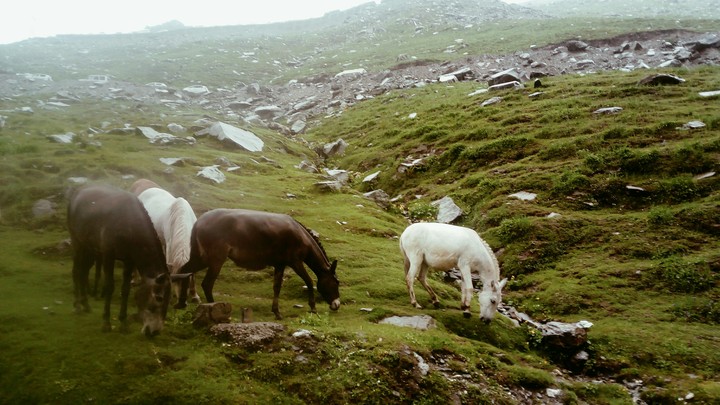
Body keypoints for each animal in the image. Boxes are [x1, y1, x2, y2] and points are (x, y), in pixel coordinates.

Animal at [67, 184, 179, 336]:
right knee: (76, 271)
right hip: (77, 242)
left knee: (83, 271)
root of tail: (76, 193)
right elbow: (109, 286)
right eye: (159, 298)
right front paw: (106, 322)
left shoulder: (129, 260)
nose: (154, 331)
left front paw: (123, 322)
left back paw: (85, 304)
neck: (129, 225)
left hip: (89, 247)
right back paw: (77, 305)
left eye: (169, 299)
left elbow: (125, 289)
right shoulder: (108, 255)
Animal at [176, 208, 341, 320]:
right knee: (207, 283)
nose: (337, 305)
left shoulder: (280, 265)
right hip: (216, 260)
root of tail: (199, 222)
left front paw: (277, 312)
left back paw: (182, 303)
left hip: (202, 258)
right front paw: (313, 307)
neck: (300, 235)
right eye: (336, 283)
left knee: (184, 271)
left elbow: (277, 287)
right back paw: (217, 309)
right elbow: (309, 281)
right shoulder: (295, 262)